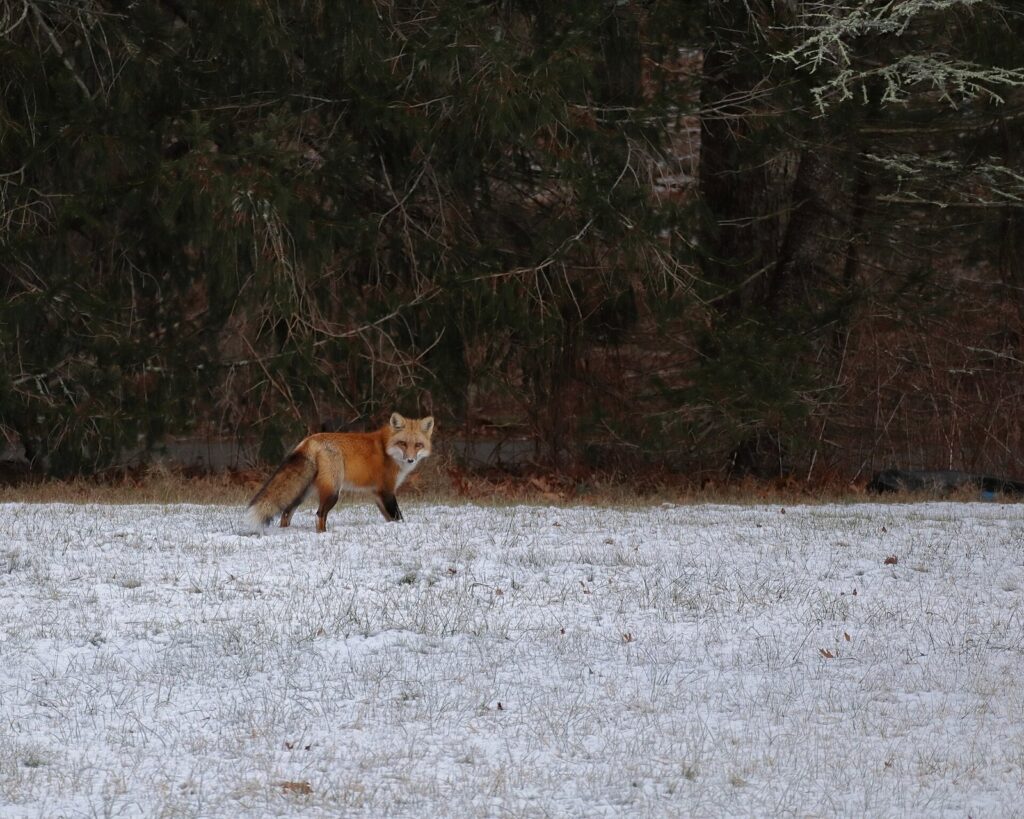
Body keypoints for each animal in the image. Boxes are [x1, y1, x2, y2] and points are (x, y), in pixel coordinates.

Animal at [248, 412, 434, 532]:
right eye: (403, 443)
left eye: (418, 445)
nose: (410, 460)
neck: (386, 448)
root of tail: (309, 440)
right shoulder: (386, 491)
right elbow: (398, 517)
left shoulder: (377, 494)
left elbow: (389, 518)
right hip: (333, 491)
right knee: (319, 515)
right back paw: (324, 534)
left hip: (303, 492)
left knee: (286, 511)